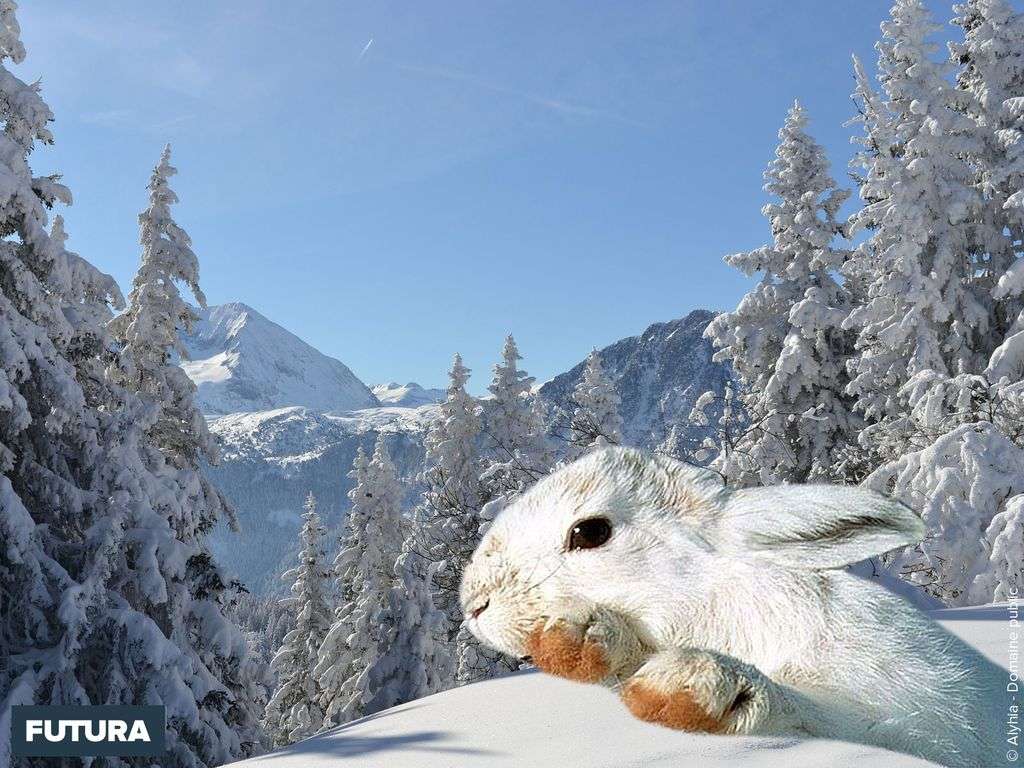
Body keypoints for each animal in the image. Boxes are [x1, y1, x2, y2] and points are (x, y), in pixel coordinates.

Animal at [462, 448, 1007, 765]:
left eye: (590, 532)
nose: (473, 603)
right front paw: (580, 642)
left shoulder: (921, 718)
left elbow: (829, 718)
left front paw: (689, 692)